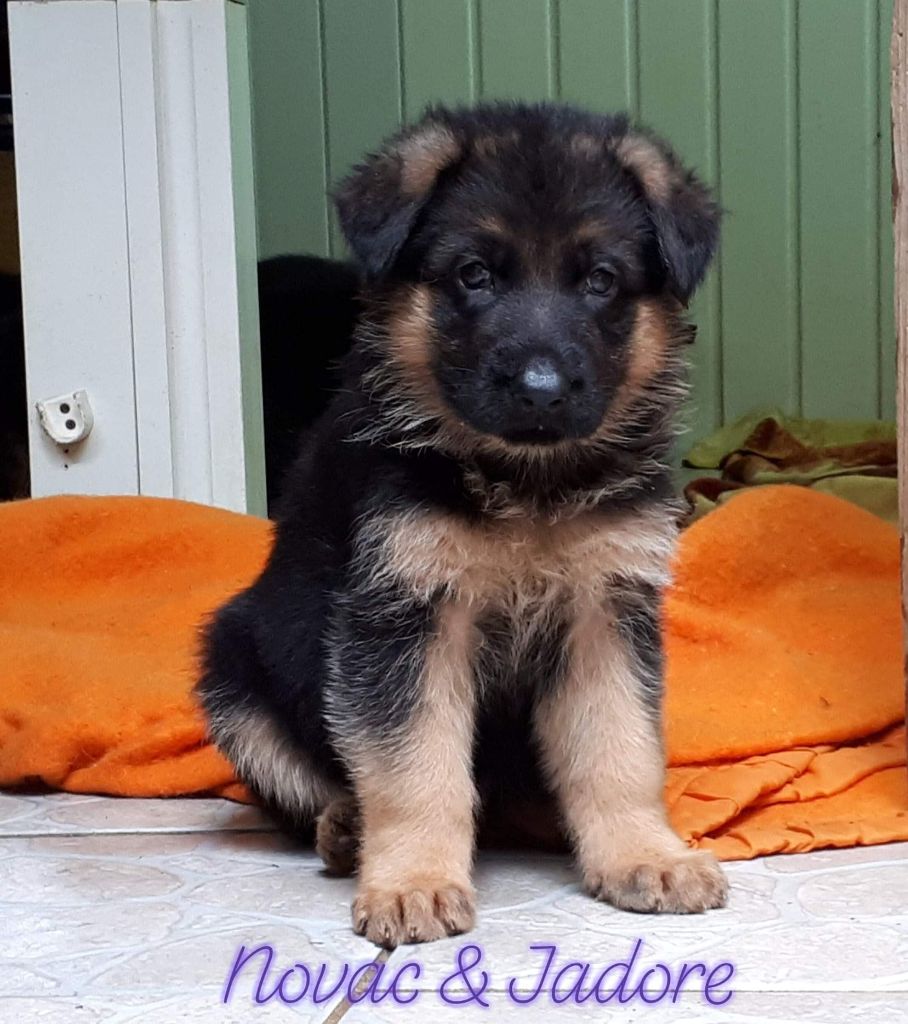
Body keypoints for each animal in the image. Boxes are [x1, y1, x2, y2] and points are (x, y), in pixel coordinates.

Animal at [195, 101, 728, 942]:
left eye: (600, 280)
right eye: (475, 275)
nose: (542, 391)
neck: (526, 485)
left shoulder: (604, 614)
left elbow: (619, 750)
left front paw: (646, 854)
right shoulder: (406, 618)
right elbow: (416, 767)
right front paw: (413, 880)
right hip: (231, 671)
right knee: (309, 787)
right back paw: (347, 829)